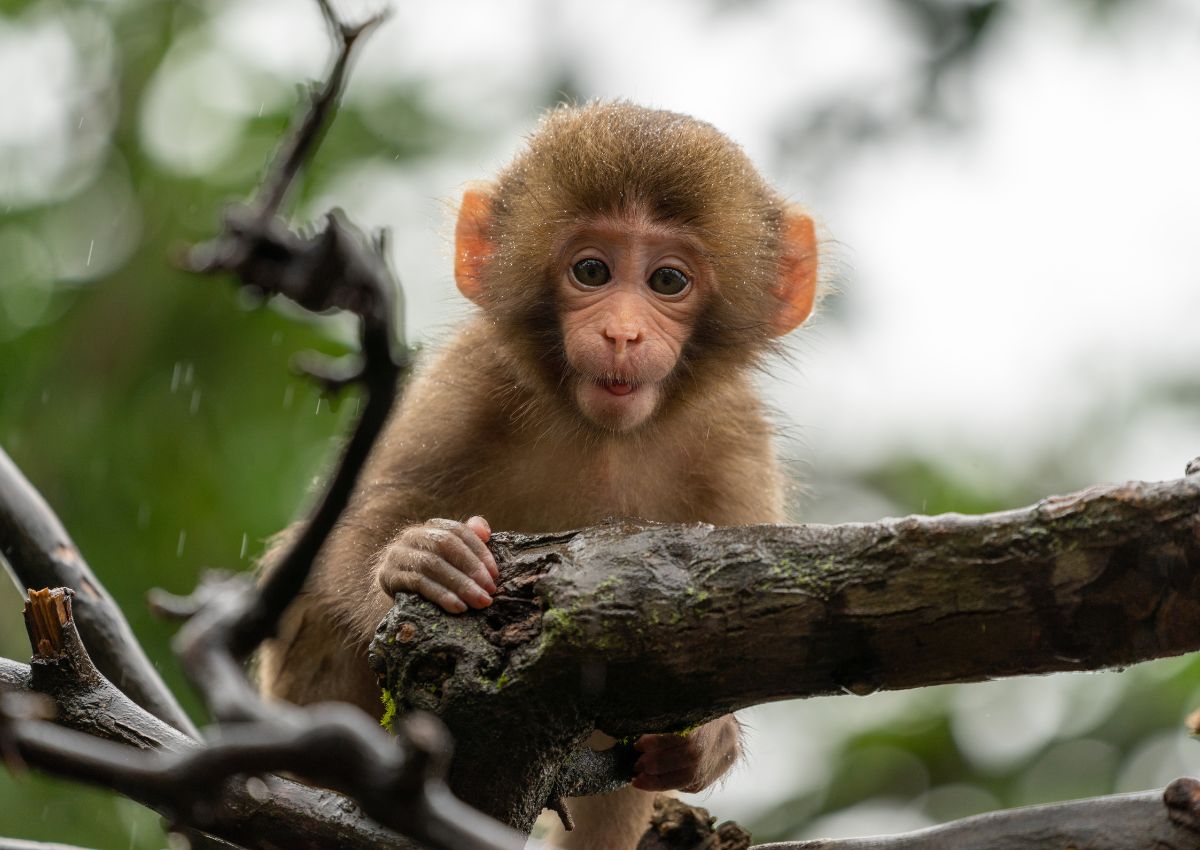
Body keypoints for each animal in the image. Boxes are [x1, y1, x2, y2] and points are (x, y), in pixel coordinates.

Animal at [258, 100, 820, 850]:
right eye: (591, 270)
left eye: (668, 281)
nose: (622, 334)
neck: (603, 437)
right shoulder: (470, 377)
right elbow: (348, 529)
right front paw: (420, 561)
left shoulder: (734, 442)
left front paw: (709, 742)